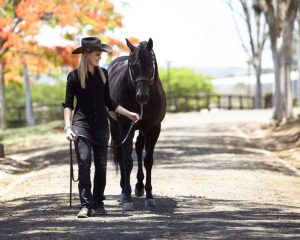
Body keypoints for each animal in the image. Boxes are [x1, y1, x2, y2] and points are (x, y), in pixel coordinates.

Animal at [107, 37, 166, 210]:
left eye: (151, 64)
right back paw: (123, 190)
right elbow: (127, 161)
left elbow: (148, 161)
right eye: (133, 66)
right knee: (121, 155)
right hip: (116, 127)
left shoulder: (153, 129)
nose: (142, 96)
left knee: (139, 149)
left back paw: (139, 187)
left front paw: (149, 195)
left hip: (142, 129)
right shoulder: (127, 127)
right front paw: (127, 196)